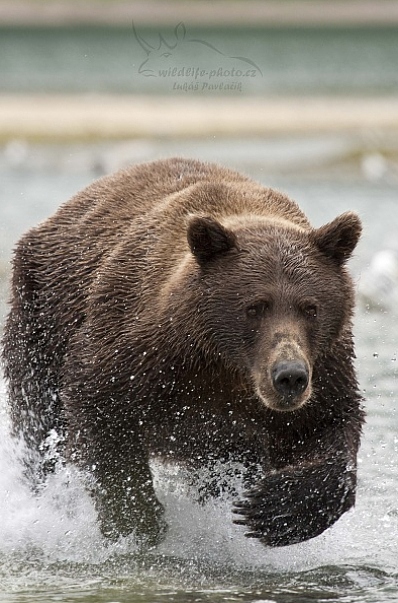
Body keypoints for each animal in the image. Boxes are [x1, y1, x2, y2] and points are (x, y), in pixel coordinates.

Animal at [1, 158, 366, 548]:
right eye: (255, 306)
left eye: (310, 308)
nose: (289, 376)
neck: (225, 364)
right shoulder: (137, 348)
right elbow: (102, 411)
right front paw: (137, 522)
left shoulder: (324, 367)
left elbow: (329, 425)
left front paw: (272, 510)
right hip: (42, 314)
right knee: (39, 422)